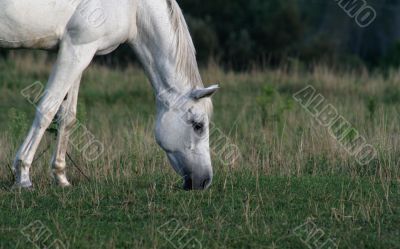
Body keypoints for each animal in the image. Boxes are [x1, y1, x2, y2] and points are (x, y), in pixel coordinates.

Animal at [0, 0, 219, 190]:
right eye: (198, 125)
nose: (205, 181)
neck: (133, 7)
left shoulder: (79, 51)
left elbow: (67, 116)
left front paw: (61, 177)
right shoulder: (77, 48)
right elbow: (47, 109)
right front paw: (23, 176)